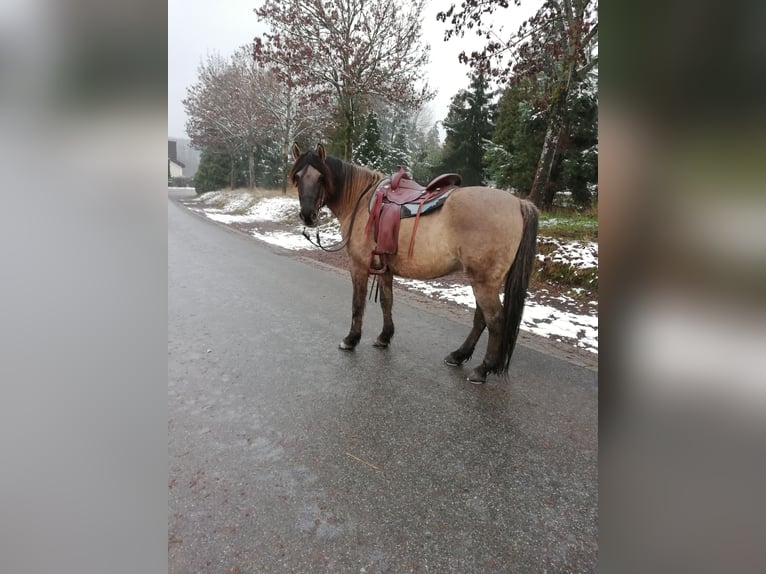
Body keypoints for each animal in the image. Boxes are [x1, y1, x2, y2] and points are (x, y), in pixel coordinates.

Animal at [290, 144, 540, 388]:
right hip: (482, 281)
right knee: (481, 318)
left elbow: (357, 304)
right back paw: (459, 355)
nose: (308, 215)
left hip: (483, 282)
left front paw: (351, 340)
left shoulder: (359, 266)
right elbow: (386, 301)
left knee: (495, 320)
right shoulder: (385, 269)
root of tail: (519, 203)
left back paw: (482, 369)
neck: (360, 201)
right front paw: (384, 337)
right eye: (299, 176)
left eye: (321, 177)